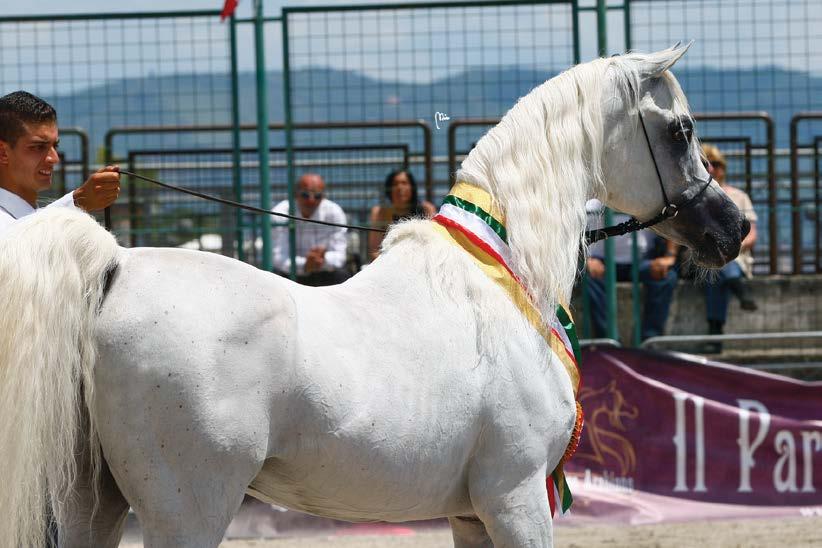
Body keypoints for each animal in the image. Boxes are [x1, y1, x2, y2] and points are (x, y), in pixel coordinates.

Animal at [0, 47, 748, 548]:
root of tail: (116, 267)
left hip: (93, 504)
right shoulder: (516, 498)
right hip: (189, 511)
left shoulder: (473, 512)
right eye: (680, 129)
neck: (502, 277)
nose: (734, 228)